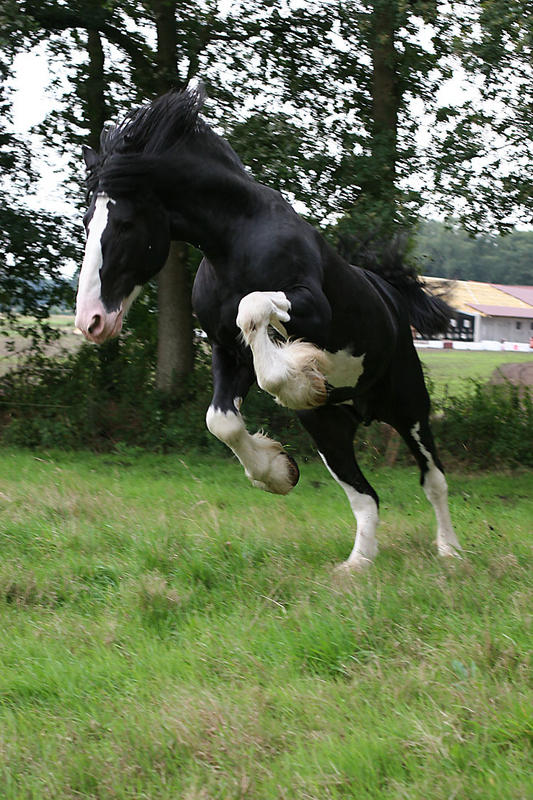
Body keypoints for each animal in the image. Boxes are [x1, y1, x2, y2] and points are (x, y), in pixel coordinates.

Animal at [76, 87, 462, 568]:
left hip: (409, 409)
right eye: (87, 222)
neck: (234, 240)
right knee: (365, 497)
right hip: (329, 430)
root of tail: (388, 291)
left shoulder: (312, 307)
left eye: (126, 223)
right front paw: (279, 470)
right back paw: (356, 566)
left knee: (434, 480)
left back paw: (449, 551)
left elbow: (255, 314)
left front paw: (300, 378)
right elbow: (221, 420)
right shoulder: (227, 352)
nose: (90, 320)